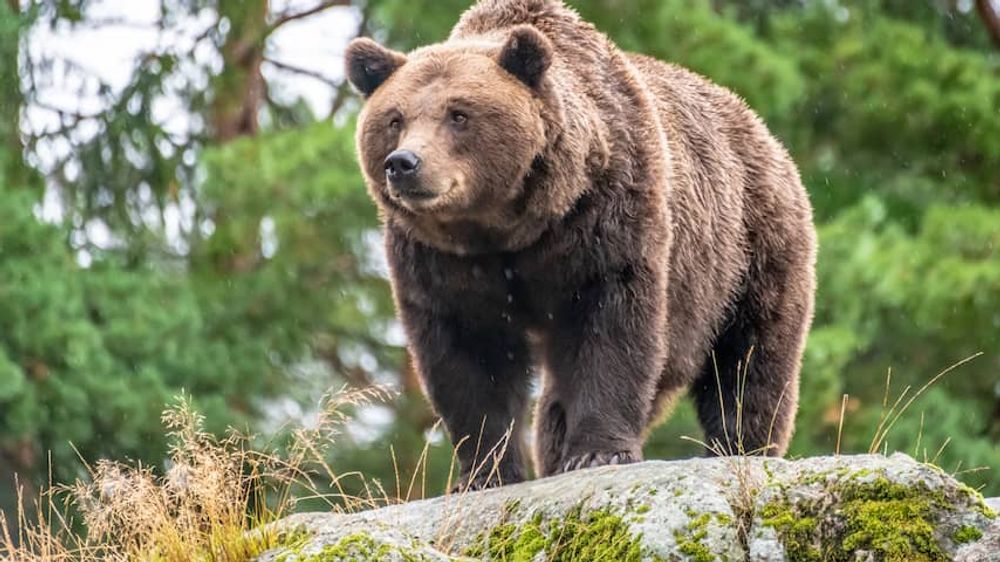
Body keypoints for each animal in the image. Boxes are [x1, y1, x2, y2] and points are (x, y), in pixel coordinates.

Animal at [344, 0, 812, 490]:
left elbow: (612, 327)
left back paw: (742, 446)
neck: (509, 227)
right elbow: (467, 356)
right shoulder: (440, 262)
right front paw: (484, 473)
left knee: (750, 358)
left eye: (459, 114)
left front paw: (597, 453)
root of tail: (758, 126)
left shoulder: (606, 219)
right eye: (395, 119)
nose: (404, 163)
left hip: (748, 250)